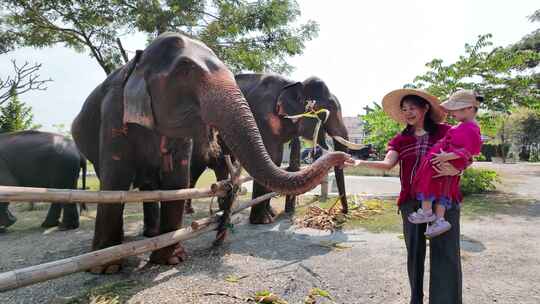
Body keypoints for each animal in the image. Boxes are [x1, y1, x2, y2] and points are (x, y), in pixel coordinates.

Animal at [70, 32, 350, 274]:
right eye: (185, 71)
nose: (346, 157)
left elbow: (177, 179)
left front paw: (171, 260)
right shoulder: (114, 111)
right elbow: (116, 176)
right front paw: (107, 268)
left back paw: (154, 233)